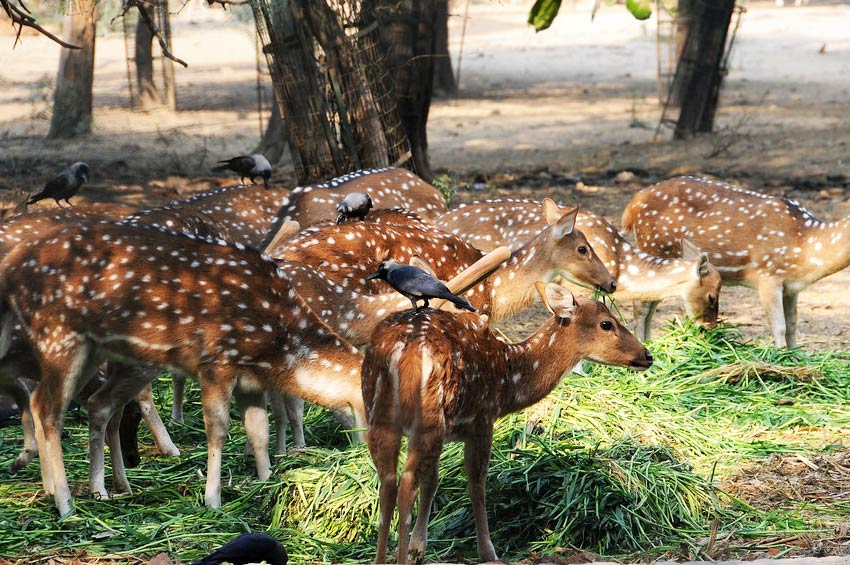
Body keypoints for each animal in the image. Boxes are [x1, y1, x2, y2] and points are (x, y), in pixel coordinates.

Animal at [0, 221, 364, 516]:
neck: (276, 347)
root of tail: (12, 267)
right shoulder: (216, 361)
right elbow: (218, 428)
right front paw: (212, 499)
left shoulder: (250, 381)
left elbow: (258, 432)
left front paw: (265, 480)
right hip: (58, 333)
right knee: (46, 406)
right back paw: (64, 502)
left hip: (96, 350)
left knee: (93, 403)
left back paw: (103, 489)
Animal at [362, 282, 652, 564]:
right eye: (607, 323)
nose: (647, 355)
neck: (507, 380)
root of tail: (403, 350)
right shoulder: (482, 419)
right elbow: (476, 483)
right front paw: (488, 553)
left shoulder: (449, 431)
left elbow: (433, 480)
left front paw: (418, 549)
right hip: (429, 417)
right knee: (406, 482)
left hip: (380, 416)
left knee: (388, 482)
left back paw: (381, 559)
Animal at [616, 175, 848, 348]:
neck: (807, 246)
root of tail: (634, 203)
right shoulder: (767, 275)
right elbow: (779, 327)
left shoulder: (791, 287)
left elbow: (792, 325)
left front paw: (796, 358)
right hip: (654, 246)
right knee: (641, 304)